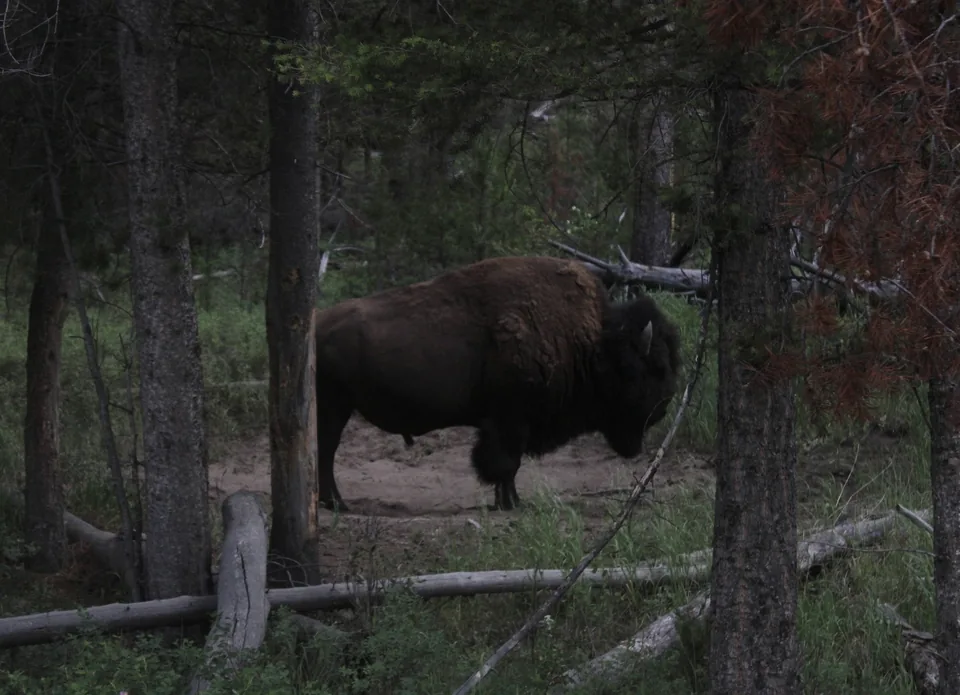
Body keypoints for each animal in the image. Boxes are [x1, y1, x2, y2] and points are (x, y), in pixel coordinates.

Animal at [314, 255, 682, 512]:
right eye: (654, 368)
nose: (664, 407)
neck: (592, 341)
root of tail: (318, 325)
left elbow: (508, 466)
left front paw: (511, 500)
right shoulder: (510, 421)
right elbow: (506, 464)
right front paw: (509, 503)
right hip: (334, 407)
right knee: (326, 451)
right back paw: (336, 503)